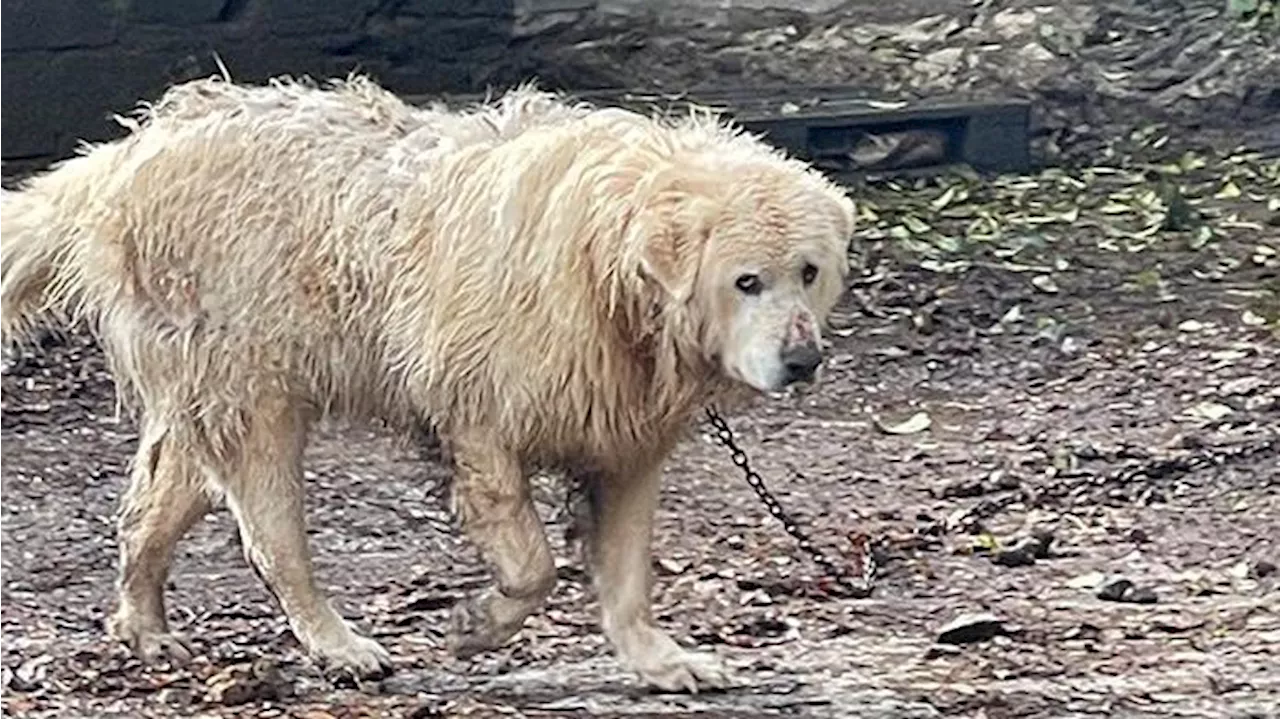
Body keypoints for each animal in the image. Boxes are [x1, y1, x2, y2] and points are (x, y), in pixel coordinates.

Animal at [2, 74, 860, 690]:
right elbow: (532, 562)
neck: (607, 265)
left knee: (151, 506)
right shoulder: (480, 414)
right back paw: (338, 643)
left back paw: (144, 625)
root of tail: (134, 146)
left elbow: (624, 569)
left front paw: (660, 658)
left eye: (808, 271)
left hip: (206, 386)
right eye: (746, 280)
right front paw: (478, 622)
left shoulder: (622, 434)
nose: (803, 360)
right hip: (255, 387)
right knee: (271, 534)